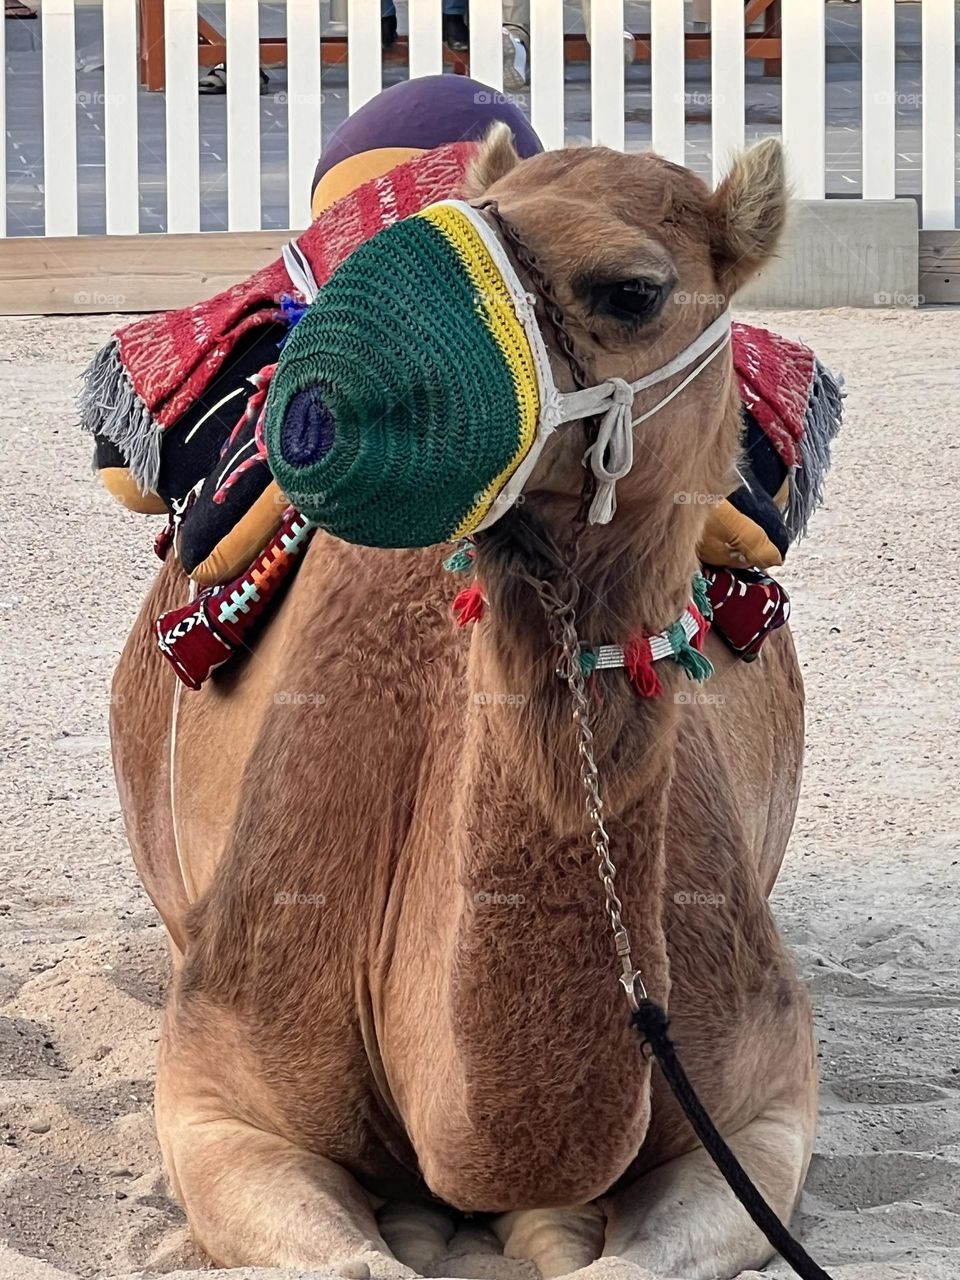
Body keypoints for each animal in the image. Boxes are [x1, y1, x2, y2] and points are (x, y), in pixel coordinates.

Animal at [111, 131, 817, 1280]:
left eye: (634, 289)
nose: (333, 394)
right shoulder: (217, 1091)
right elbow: (356, 1256)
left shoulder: (767, 1099)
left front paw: (540, 1225)